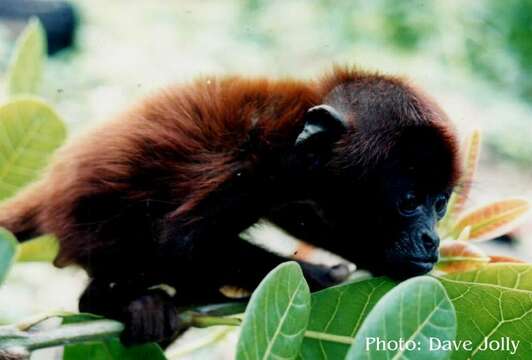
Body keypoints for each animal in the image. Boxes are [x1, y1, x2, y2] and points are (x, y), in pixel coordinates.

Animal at [0, 66, 460, 344]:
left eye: (439, 204)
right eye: (409, 202)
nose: (430, 239)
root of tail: (51, 188)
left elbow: (302, 216)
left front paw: (374, 257)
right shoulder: (251, 168)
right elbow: (182, 241)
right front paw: (320, 275)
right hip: (90, 229)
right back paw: (115, 302)